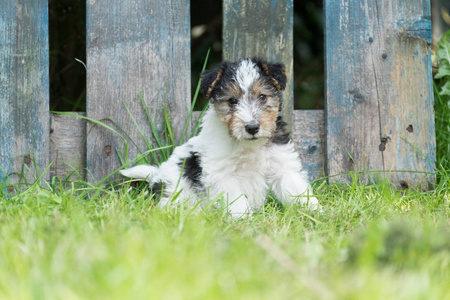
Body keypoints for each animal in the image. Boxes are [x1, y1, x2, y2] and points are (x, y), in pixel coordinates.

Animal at [119, 57, 316, 217]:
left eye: (262, 97)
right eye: (232, 100)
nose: (252, 127)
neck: (248, 146)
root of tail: (157, 175)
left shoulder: (283, 165)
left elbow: (298, 190)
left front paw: (316, 214)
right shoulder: (223, 175)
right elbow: (237, 202)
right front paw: (245, 223)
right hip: (174, 192)